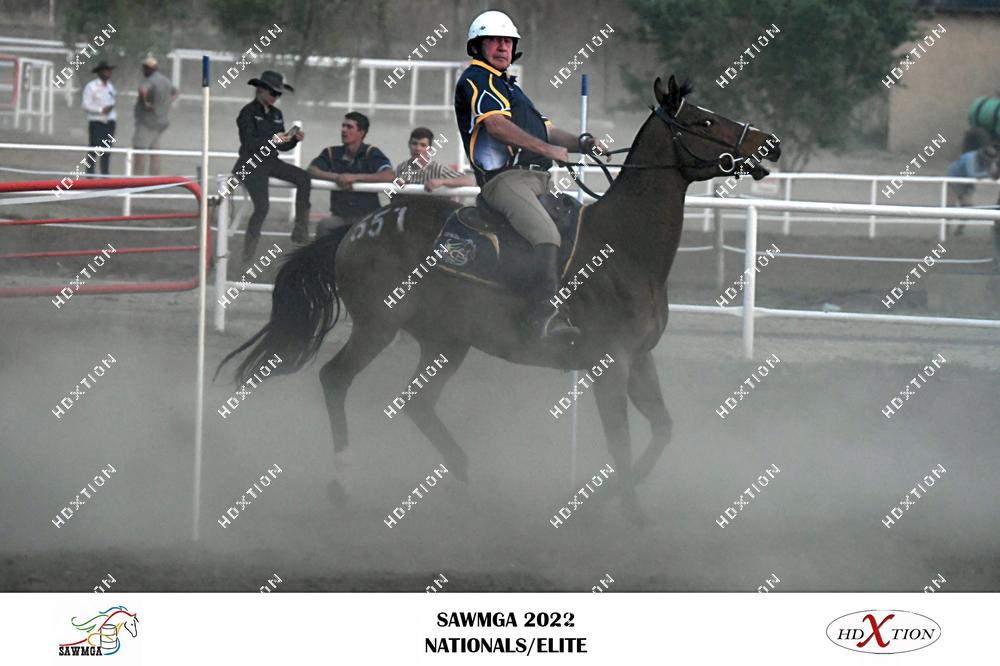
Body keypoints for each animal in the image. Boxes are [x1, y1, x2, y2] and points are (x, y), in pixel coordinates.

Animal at [217, 75, 781, 523]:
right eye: (706, 120)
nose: (770, 143)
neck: (623, 246)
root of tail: (359, 228)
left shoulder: (640, 359)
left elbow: (662, 429)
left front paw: (609, 501)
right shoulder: (611, 364)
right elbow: (619, 442)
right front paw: (633, 512)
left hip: (446, 343)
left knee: (418, 404)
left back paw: (469, 478)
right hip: (378, 327)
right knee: (336, 380)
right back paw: (343, 481)